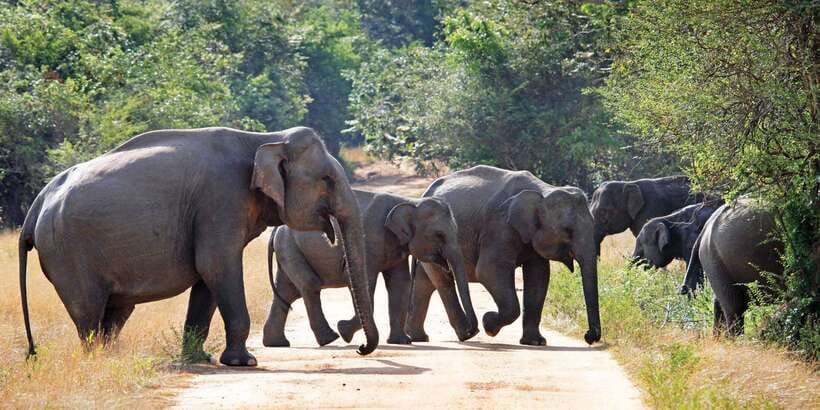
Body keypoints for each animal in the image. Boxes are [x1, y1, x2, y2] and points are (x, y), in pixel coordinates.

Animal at [18, 126, 378, 366]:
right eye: (327, 181)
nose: (360, 347)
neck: (263, 138)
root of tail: (37, 204)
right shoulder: (220, 199)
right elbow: (216, 264)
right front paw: (245, 363)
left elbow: (207, 277)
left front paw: (200, 359)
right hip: (68, 252)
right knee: (89, 311)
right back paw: (97, 362)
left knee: (115, 312)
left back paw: (110, 359)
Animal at [262, 190, 477, 347]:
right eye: (439, 235)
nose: (471, 332)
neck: (410, 201)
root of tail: (276, 230)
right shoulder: (370, 238)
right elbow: (365, 282)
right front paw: (344, 331)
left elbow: (400, 284)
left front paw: (402, 342)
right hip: (290, 248)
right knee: (309, 285)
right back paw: (330, 339)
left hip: (289, 249)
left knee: (287, 291)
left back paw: (277, 344)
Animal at [405, 165, 601, 346]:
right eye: (567, 231)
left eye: (594, 225)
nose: (588, 337)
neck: (544, 191)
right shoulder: (500, 225)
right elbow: (488, 270)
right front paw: (489, 324)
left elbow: (539, 276)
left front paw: (535, 342)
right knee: (442, 282)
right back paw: (466, 335)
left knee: (425, 283)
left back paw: (418, 337)